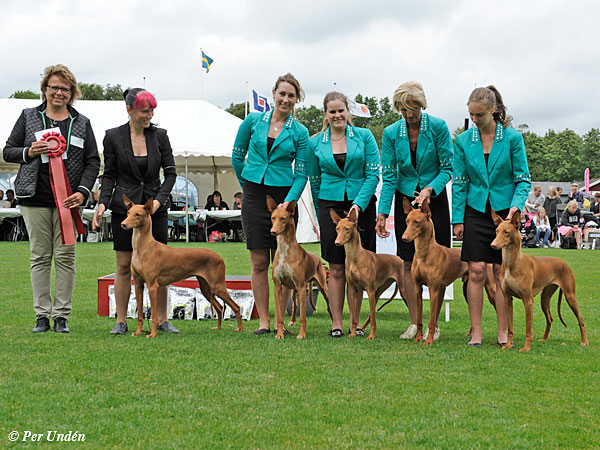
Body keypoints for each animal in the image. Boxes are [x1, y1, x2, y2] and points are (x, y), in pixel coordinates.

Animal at [120, 194, 243, 338]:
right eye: (128, 213)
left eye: (138, 214)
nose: (123, 224)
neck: (142, 247)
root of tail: (219, 256)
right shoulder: (139, 285)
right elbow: (140, 315)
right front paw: (138, 332)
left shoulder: (152, 286)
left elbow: (154, 316)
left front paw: (153, 334)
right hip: (205, 288)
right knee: (220, 307)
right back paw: (218, 328)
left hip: (217, 286)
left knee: (236, 307)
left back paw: (240, 329)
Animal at [268, 195, 330, 340]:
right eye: (273, 217)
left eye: (283, 218)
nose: (273, 231)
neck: (284, 250)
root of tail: (316, 257)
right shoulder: (278, 286)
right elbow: (280, 316)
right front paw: (279, 334)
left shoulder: (302, 287)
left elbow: (303, 316)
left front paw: (302, 334)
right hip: (293, 291)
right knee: (295, 307)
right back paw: (291, 321)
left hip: (322, 287)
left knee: (330, 305)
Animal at [330, 209, 406, 340]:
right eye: (337, 229)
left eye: (347, 229)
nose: (337, 242)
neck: (354, 257)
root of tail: (399, 259)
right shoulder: (353, 289)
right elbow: (355, 317)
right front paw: (353, 333)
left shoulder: (369, 290)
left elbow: (373, 318)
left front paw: (371, 336)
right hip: (379, 291)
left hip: (401, 290)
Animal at [492, 210, 592, 352]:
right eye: (497, 230)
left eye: (506, 232)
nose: (493, 245)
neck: (511, 263)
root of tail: (564, 263)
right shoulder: (507, 298)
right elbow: (510, 328)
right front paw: (508, 345)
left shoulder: (528, 300)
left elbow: (528, 328)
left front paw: (526, 347)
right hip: (545, 298)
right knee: (550, 319)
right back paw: (544, 339)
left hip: (570, 296)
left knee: (581, 319)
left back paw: (584, 341)